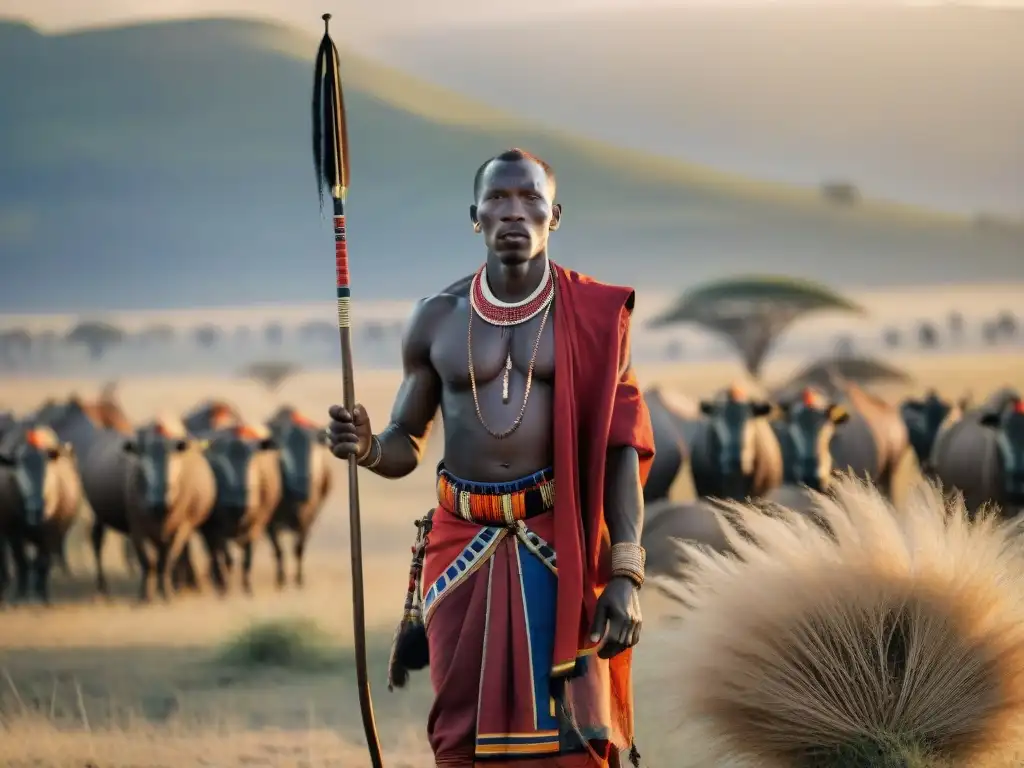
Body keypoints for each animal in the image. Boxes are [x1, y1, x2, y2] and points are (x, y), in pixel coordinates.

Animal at [264, 409, 331, 589]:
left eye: (311, 449)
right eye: (283, 448)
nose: (302, 488)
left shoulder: (307, 520)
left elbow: (298, 549)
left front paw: (299, 579)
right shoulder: (269, 525)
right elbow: (279, 550)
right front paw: (281, 579)